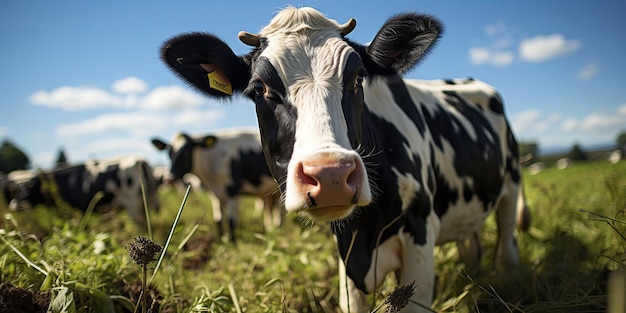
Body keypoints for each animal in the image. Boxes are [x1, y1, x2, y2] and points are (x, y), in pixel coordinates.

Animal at [150, 128, 280, 240]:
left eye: (185, 153)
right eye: (169, 153)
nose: (169, 178)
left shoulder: (232, 190)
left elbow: (231, 221)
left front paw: (233, 243)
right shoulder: (215, 193)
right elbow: (218, 220)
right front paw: (220, 240)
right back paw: (272, 228)